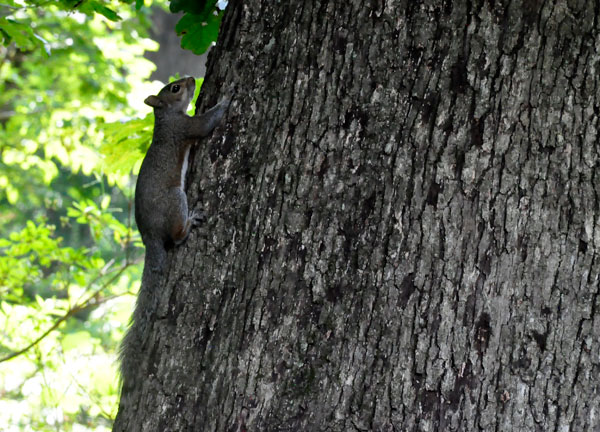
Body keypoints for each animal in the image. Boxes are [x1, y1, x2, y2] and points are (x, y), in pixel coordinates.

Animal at [119, 78, 230, 398]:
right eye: (175, 88)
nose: (192, 80)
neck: (165, 118)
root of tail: (150, 238)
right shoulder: (185, 128)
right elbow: (205, 124)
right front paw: (226, 99)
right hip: (175, 200)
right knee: (177, 237)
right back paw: (190, 222)